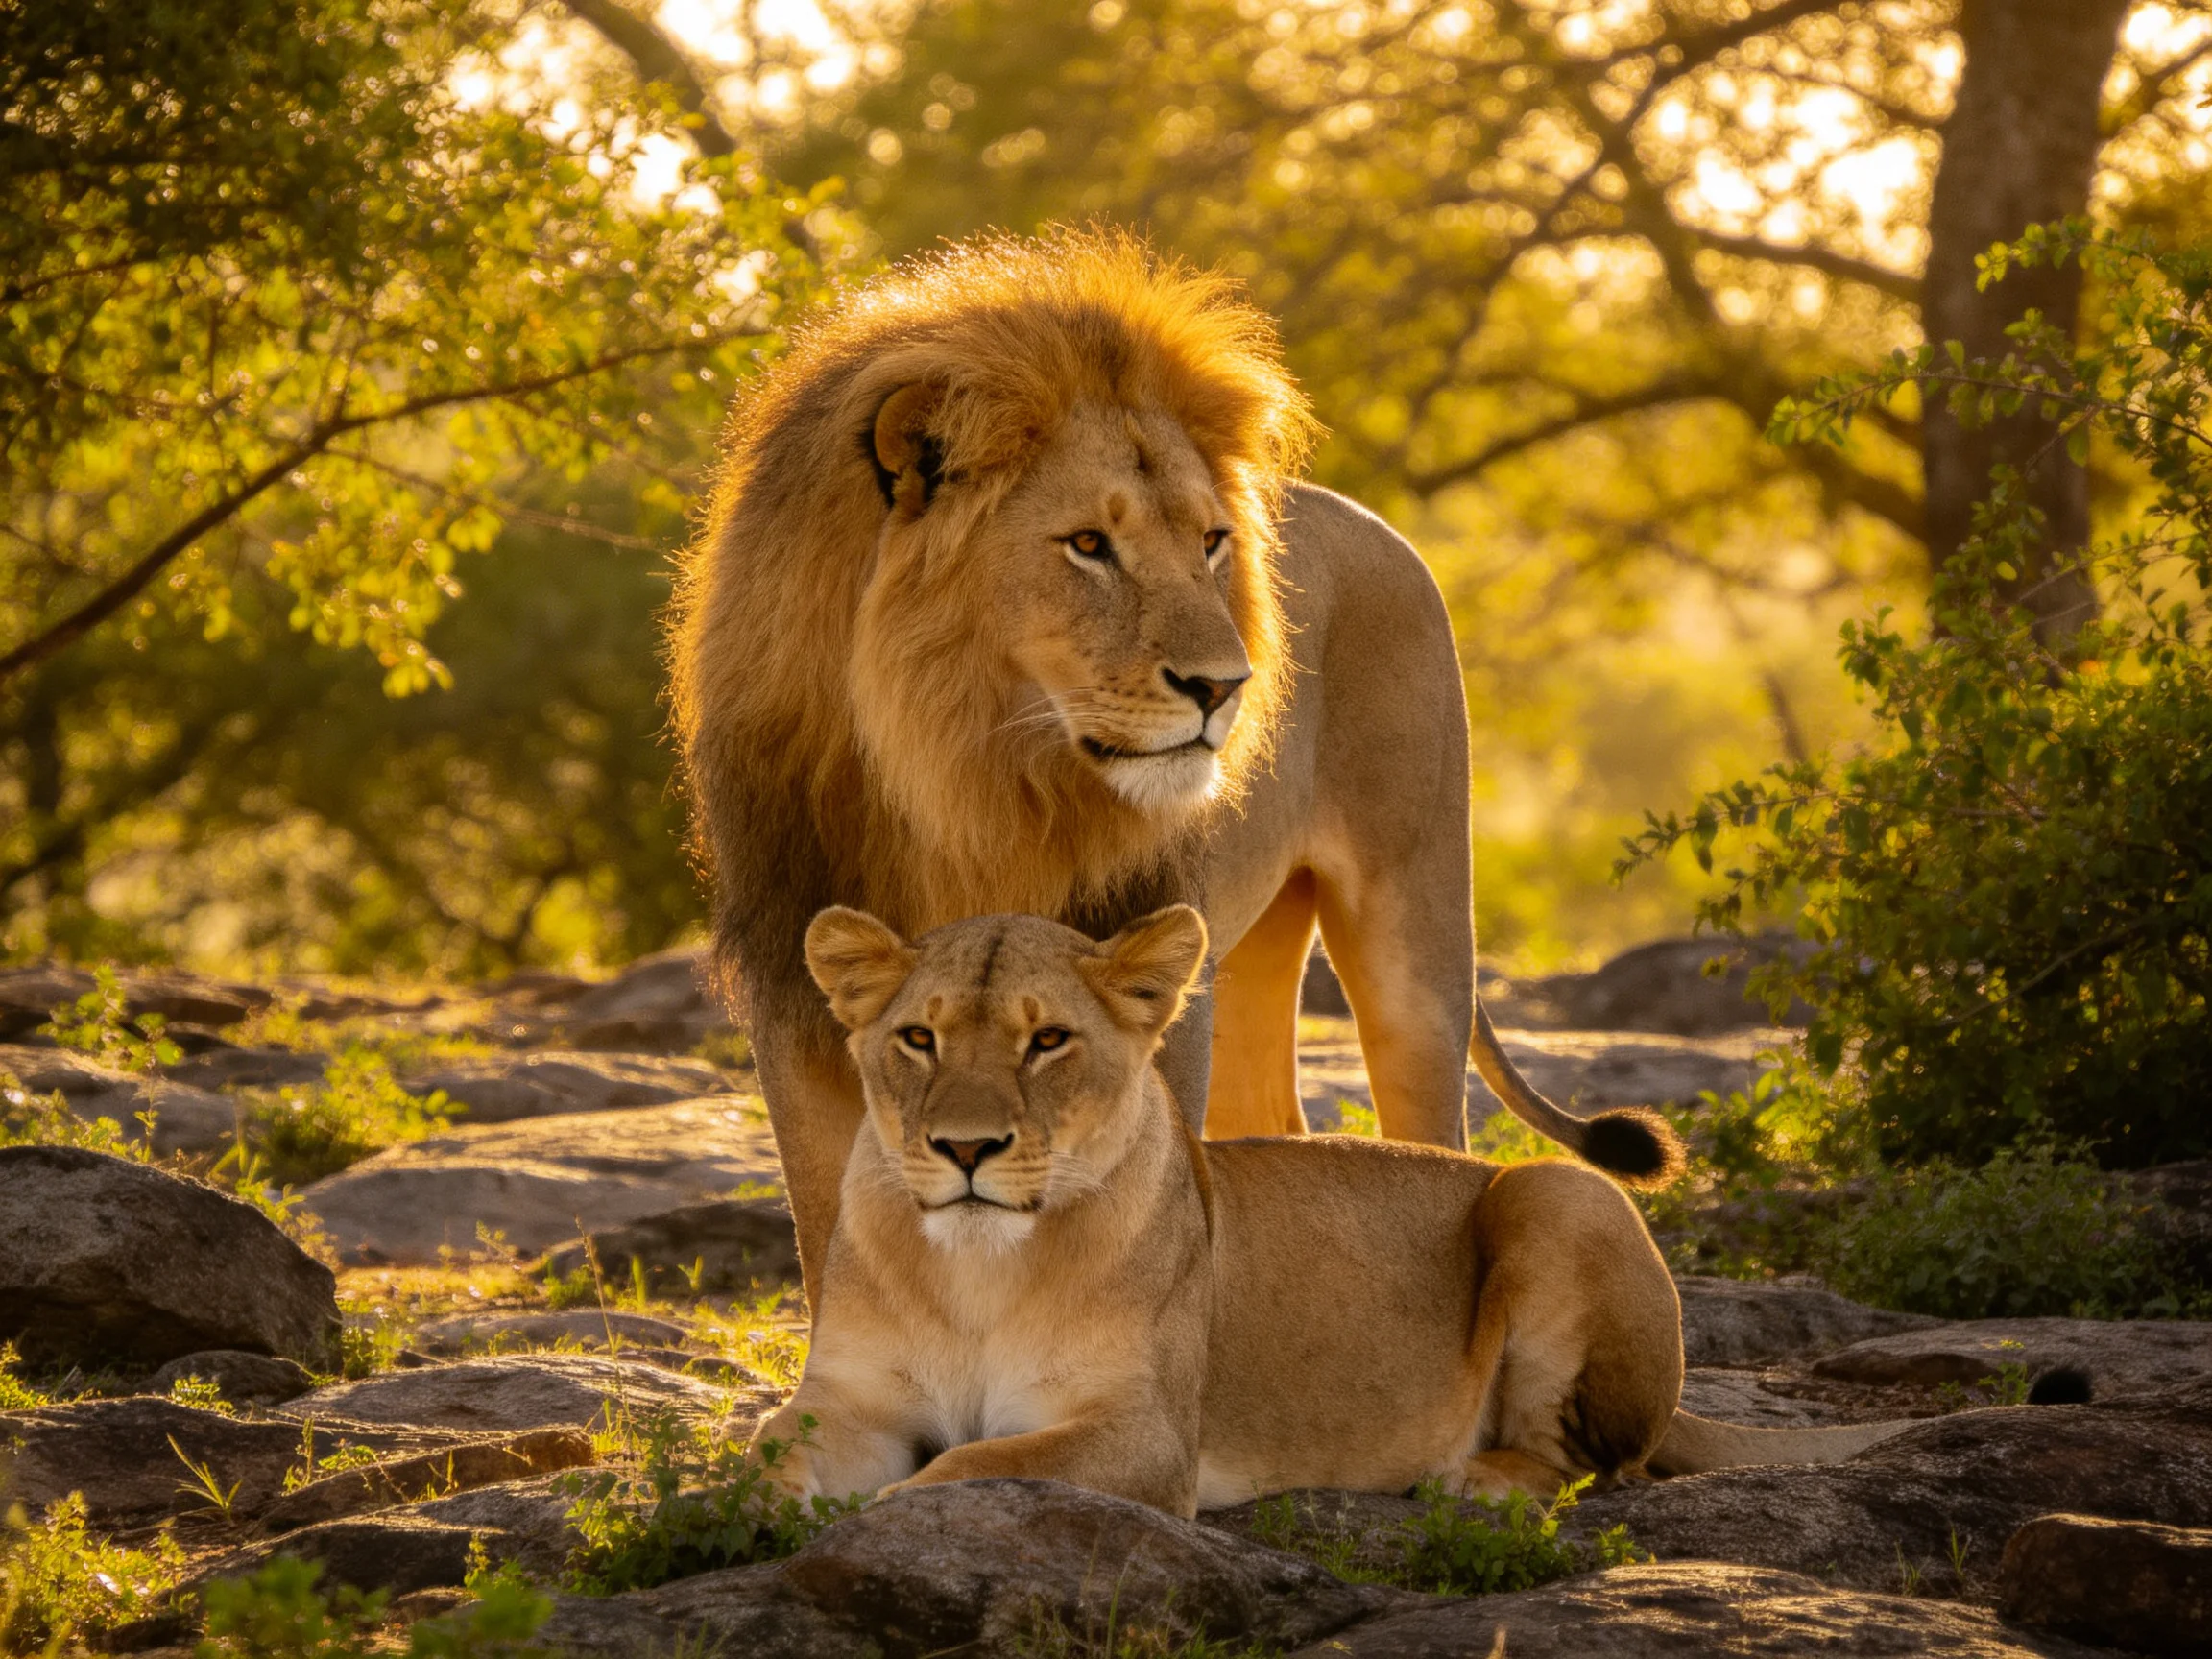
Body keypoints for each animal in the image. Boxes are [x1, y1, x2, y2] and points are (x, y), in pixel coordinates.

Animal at [671, 229, 1680, 1307]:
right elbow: (831, 1240)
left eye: (1209, 544)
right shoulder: (800, 1000)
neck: (968, 779)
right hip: (1251, 950)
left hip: (1414, 920)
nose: (1226, 686)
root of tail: (1376, 525)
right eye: (1088, 543)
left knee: (1431, 1128)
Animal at [749, 905, 1904, 1515]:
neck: (975, 1266)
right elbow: (762, 1454)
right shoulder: (846, 1402)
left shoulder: (1143, 1439)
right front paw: (732, 1520)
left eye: (1048, 1042)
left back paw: (1465, 1478)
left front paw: (873, 1515)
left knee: (1585, 1465)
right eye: (920, 1039)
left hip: (1557, 1189)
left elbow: (970, 1462)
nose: (966, 1149)